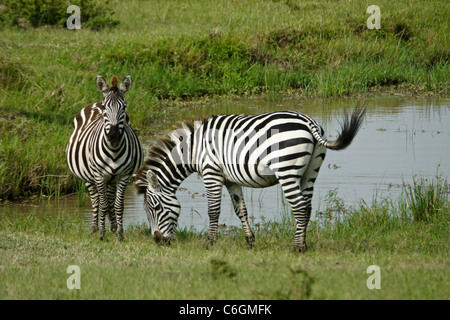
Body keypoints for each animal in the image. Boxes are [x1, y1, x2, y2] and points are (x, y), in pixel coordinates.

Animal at [66, 75, 142, 240]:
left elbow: (118, 205)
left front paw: (119, 234)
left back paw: (113, 227)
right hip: (88, 176)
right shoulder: (99, 175)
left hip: (112, 178)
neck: (113, 151)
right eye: (105, 107)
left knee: (110, 199)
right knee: (96, 201)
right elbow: (103, 204)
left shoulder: (124, 175)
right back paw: (94, 228)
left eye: (124, 107)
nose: (113, 137)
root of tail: (94, 104)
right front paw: (102, 233)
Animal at [134, 109, 366, 251]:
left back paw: (297, 247)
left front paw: (209, 242)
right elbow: (241, 210)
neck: (193, 149)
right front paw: (250, 241)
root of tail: (308, 122)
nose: (157, 241)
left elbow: (213, 210)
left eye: (154, 208)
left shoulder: (211, 173)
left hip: (287, 170)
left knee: (300, 207)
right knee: (307, 207)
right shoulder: (230, 179)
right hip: (311, 170)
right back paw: (304, 244)